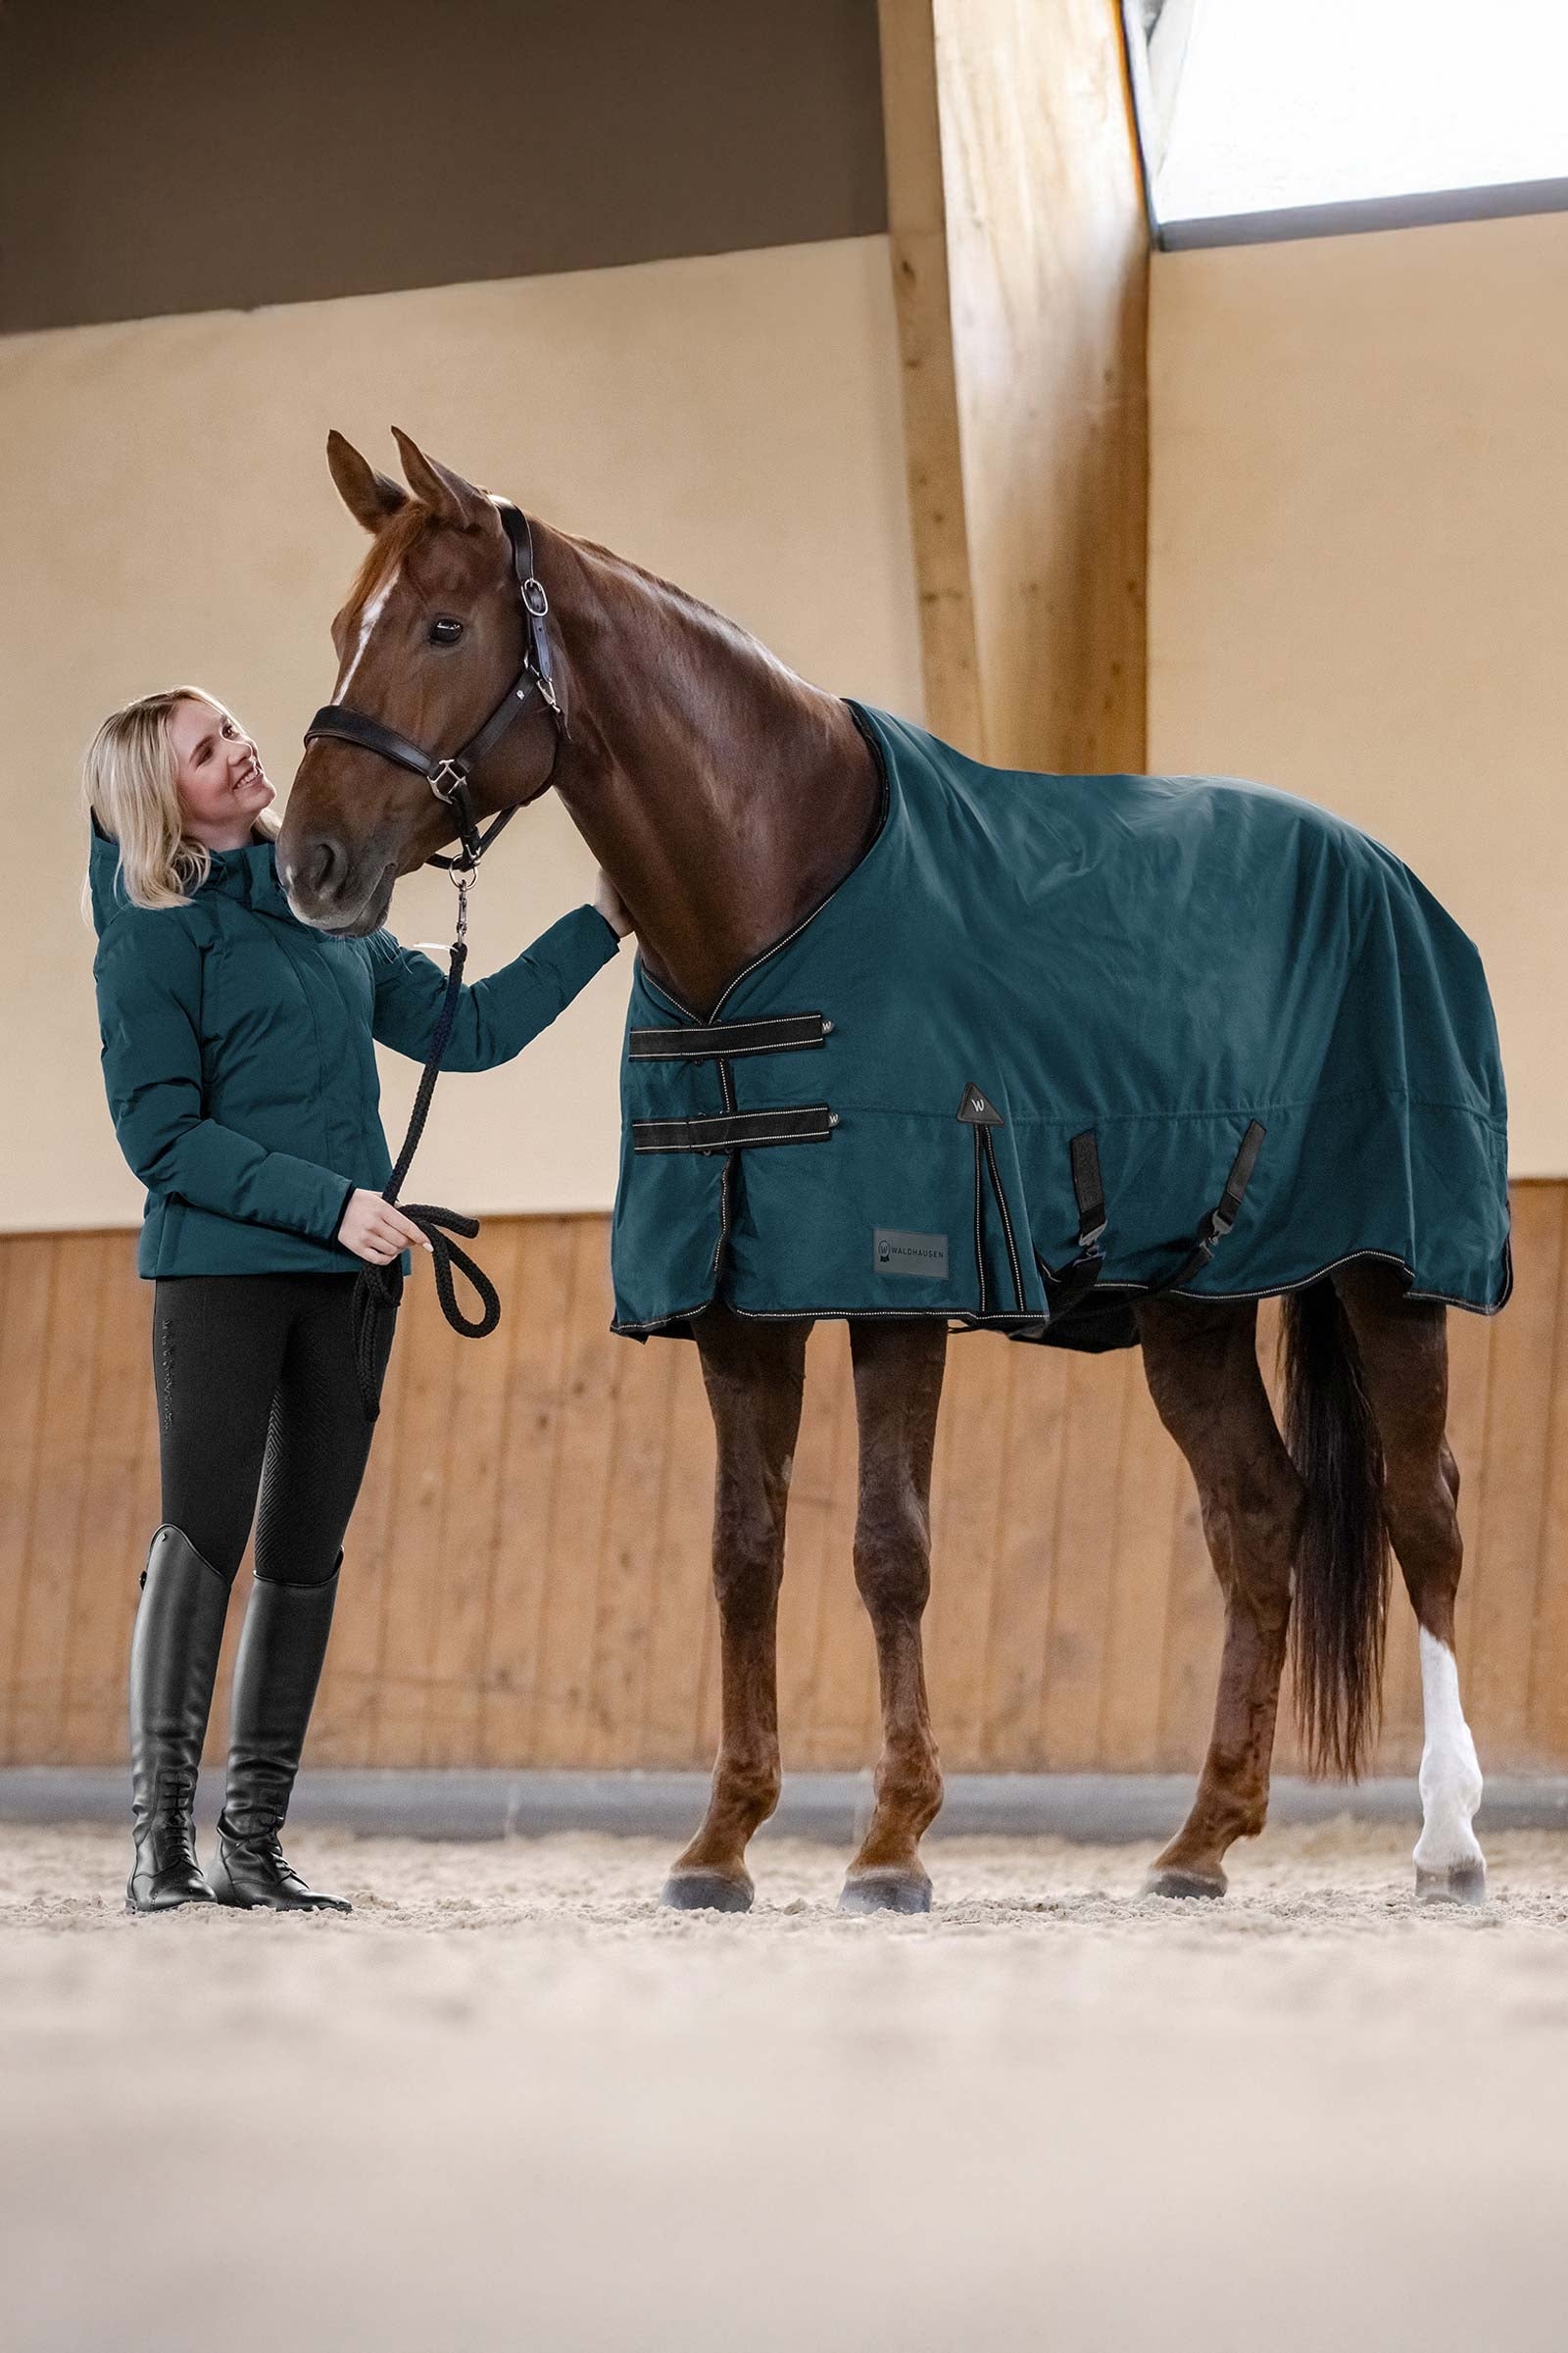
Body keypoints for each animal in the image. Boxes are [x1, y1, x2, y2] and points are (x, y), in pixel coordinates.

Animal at [278, 427, 1494, 1912]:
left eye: (444, 626)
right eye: (345, 626)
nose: (309, 864)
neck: (772, 887)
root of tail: (1388, 878)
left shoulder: (898, 1285)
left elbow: (886, 1549)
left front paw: (893, 1841)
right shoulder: (735, 1305)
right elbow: (743, 1554)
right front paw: (721, 1841)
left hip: (1392, 1273)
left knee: (1422, 1511)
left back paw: (1448, 1840)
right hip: (1189, 1309)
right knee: (1259, 1517)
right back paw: (1201, 1840)